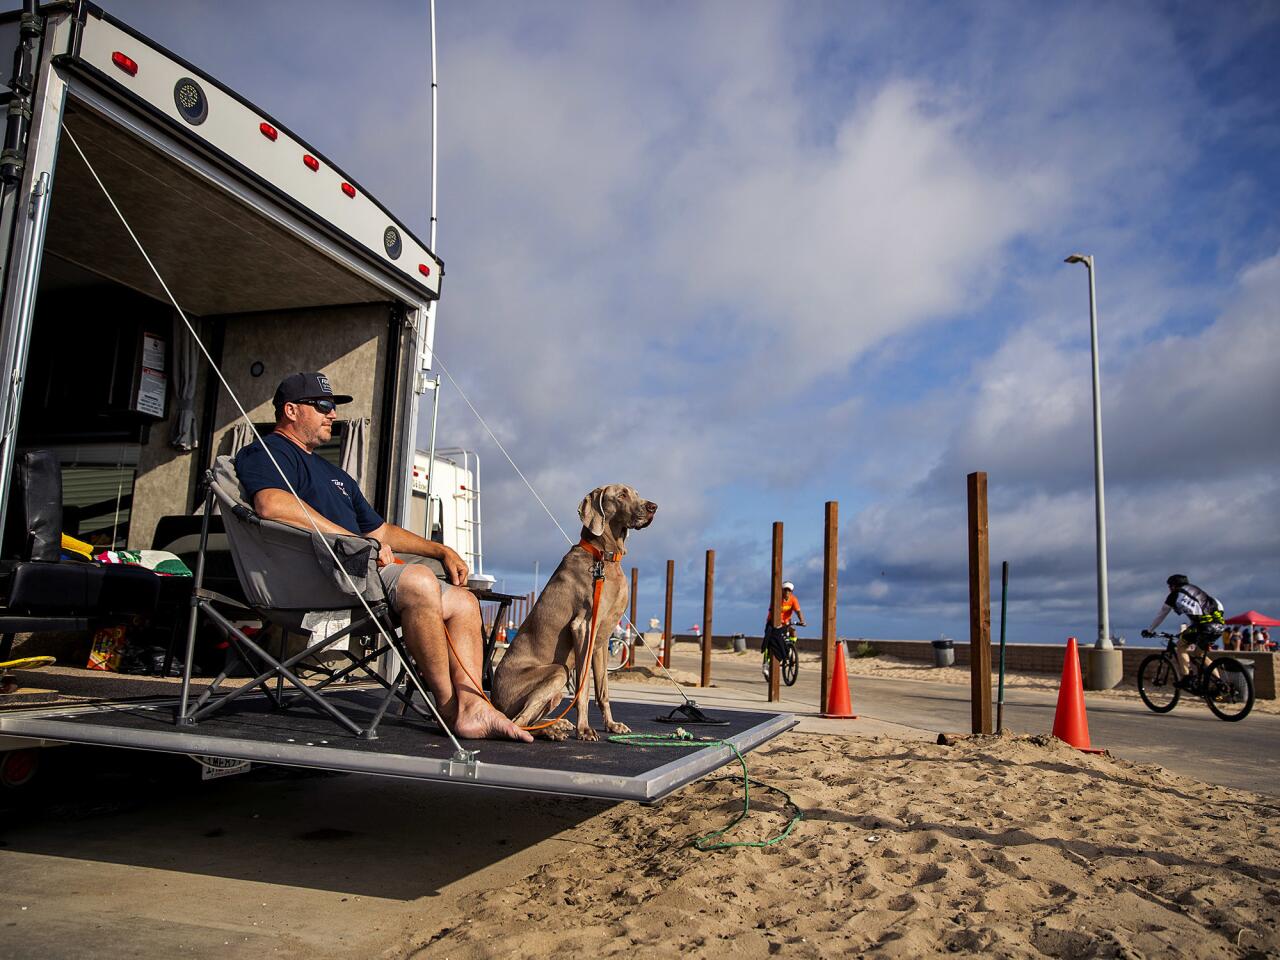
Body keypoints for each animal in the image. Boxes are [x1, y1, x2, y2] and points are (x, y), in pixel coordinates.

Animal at [491, 488, 660, 742]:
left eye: (636, 493)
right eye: (621, 495)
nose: (653, 507)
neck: (603, 557)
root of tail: (494, 702)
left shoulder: (601, 639)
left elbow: (602, 690)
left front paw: (611, 725)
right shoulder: (583, 627)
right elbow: (583, 689)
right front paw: (584, 729)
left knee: (527, 721)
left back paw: (556, 725)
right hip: (557, 671)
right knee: (517, 723)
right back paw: (552, 730)